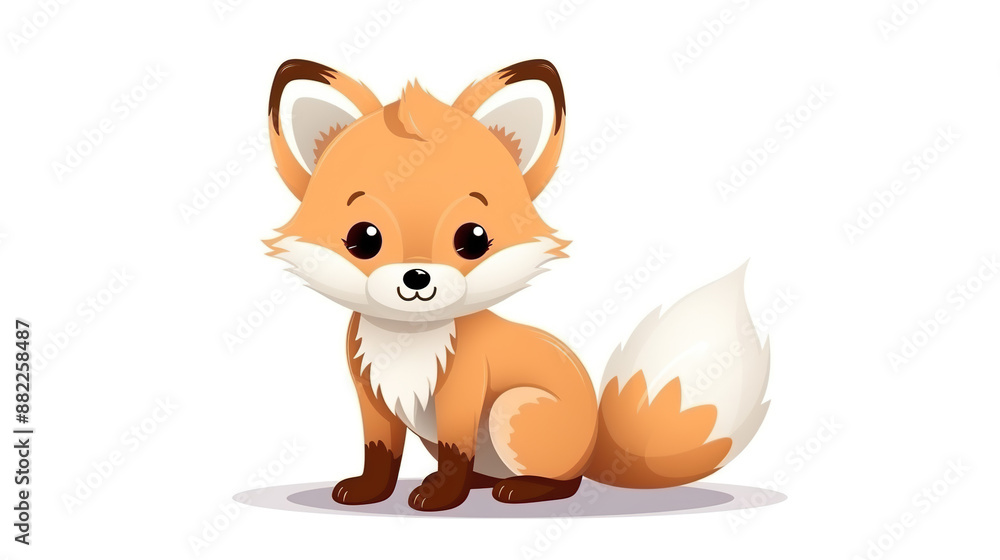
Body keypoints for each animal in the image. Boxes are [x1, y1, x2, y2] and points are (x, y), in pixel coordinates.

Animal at [264, 58, 771, 511]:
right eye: (364, 238)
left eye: (472, 238)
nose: (417, 277)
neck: (408, 343)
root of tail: (595, 450)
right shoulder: (371, 395)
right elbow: (380, 455)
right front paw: (371, 491)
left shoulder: (462, 395)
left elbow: (455, 456)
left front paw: (441, 499)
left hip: (513, 407)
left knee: (566, 483)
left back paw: (521, 490)